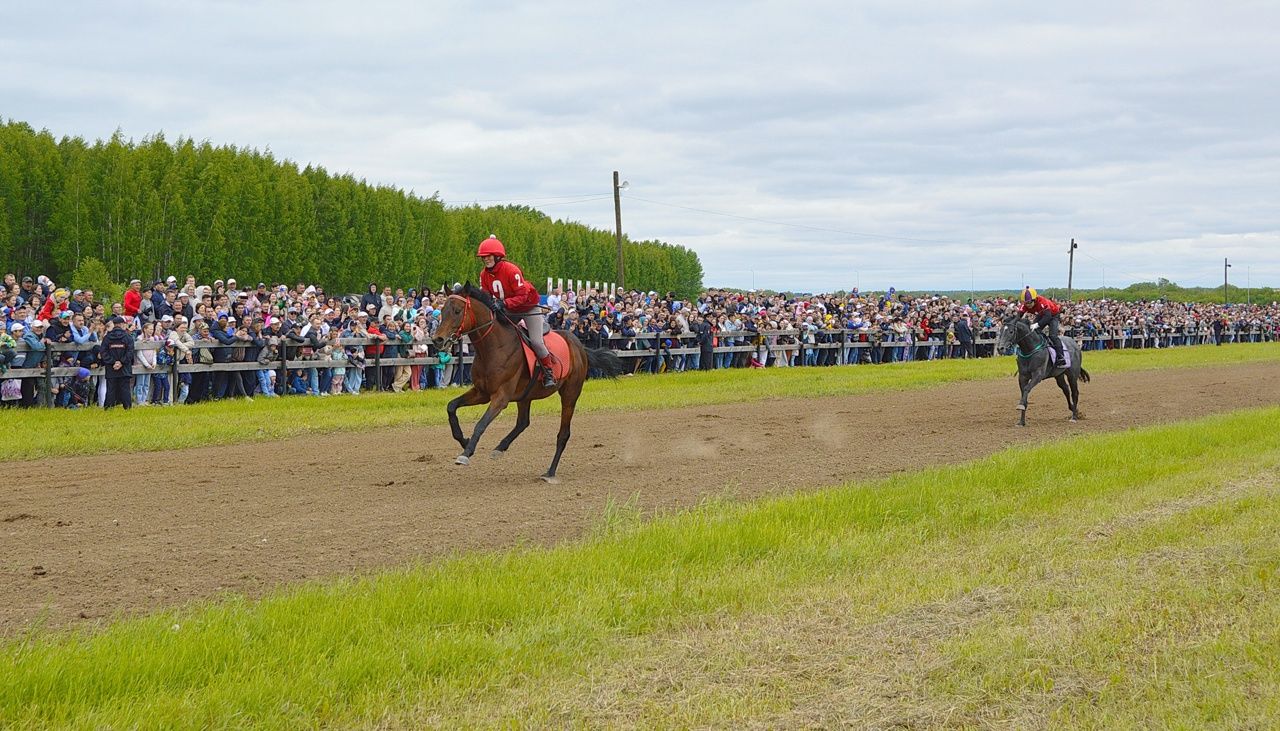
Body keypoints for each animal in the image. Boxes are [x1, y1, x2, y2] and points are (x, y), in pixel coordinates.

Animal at [432, 282, 627, 483]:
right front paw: (464, 440)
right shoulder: (482, 392)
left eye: (457, 311)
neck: (493, 348)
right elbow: (451, 406)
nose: (437, 339)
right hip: (525, 395)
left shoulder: (500, 397)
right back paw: (500, 448)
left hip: (570, 393)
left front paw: (466, 452)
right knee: (523, 422)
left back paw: (550, 472)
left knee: (563, 434)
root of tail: (579, 346)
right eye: (442, 310)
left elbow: (481, 424)